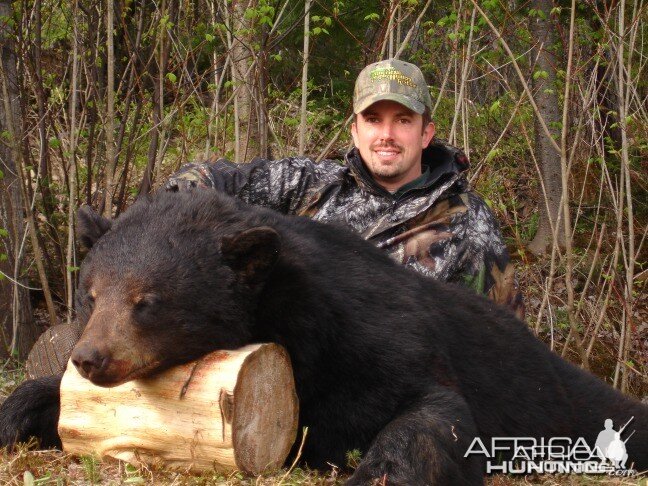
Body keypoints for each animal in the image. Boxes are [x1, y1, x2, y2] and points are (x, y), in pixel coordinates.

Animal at [1, 191, 648, 486]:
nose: (90, 357)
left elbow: (433, 412)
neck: (295, 325)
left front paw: (377, 470)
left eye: (147, 300)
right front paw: (16, 413)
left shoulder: (375, 341)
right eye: (91, 294)